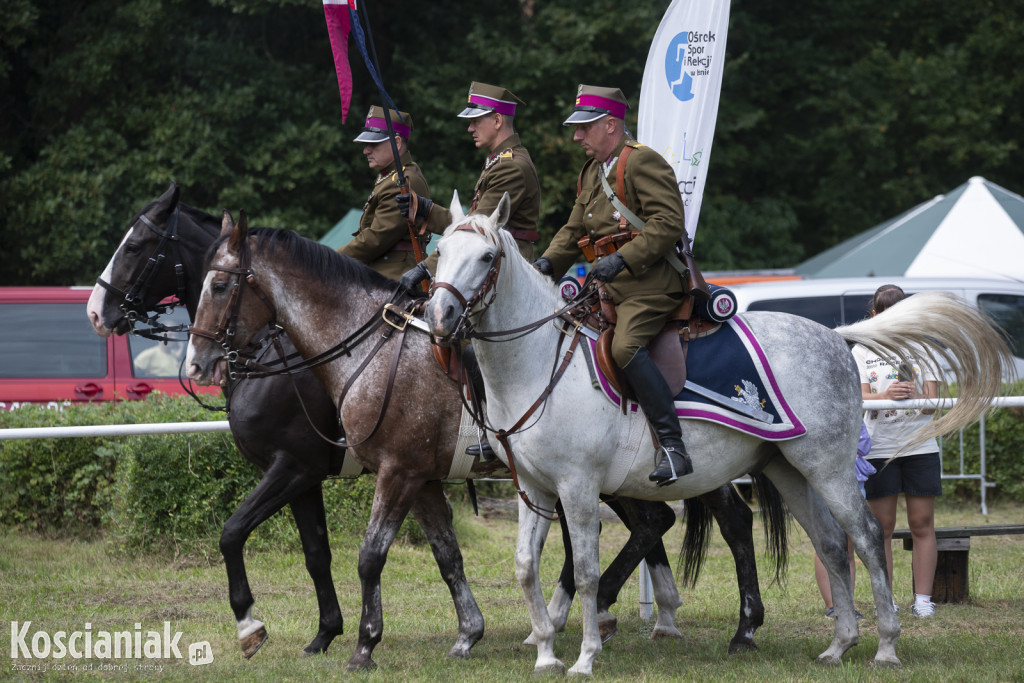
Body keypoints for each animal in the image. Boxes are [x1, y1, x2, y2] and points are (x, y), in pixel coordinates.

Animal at [90, 185, 782, 667]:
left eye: (139, 247)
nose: (198, 362)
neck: (351, 346)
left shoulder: (335, 469)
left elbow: (319, 546)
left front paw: (302, 634)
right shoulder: (397, 476)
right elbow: (420, 553)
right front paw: (450, 633)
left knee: (691, 522)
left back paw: (693, 621)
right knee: (668, 524)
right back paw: (644, 616)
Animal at [421, 194, 1007, 675]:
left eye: (486, 257)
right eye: (439, 254)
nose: (440, 315)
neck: (540, 362)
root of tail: (838, 337)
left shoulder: (578, 488)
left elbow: (584, 571)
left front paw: (585, 657)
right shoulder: (536, 489)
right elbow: (526, 568)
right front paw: (545, 652)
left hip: (828, 466)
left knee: (863, 537)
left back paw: (885, 644)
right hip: (787, 468)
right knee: (830, 544)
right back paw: (839, 645)